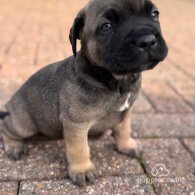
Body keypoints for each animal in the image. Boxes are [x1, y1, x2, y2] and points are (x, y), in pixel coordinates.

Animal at [0, 0, 168, 186]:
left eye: (154, 14)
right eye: (107, 26)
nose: (147, 41)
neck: (116, 81)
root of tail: (9, 104)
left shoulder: (126, 111)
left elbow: (123, 129)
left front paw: (127, 145)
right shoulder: (76, 125)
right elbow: (79, 149)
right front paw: (82, 170)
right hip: (23, 124)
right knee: (6, 128)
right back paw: (14, 146)